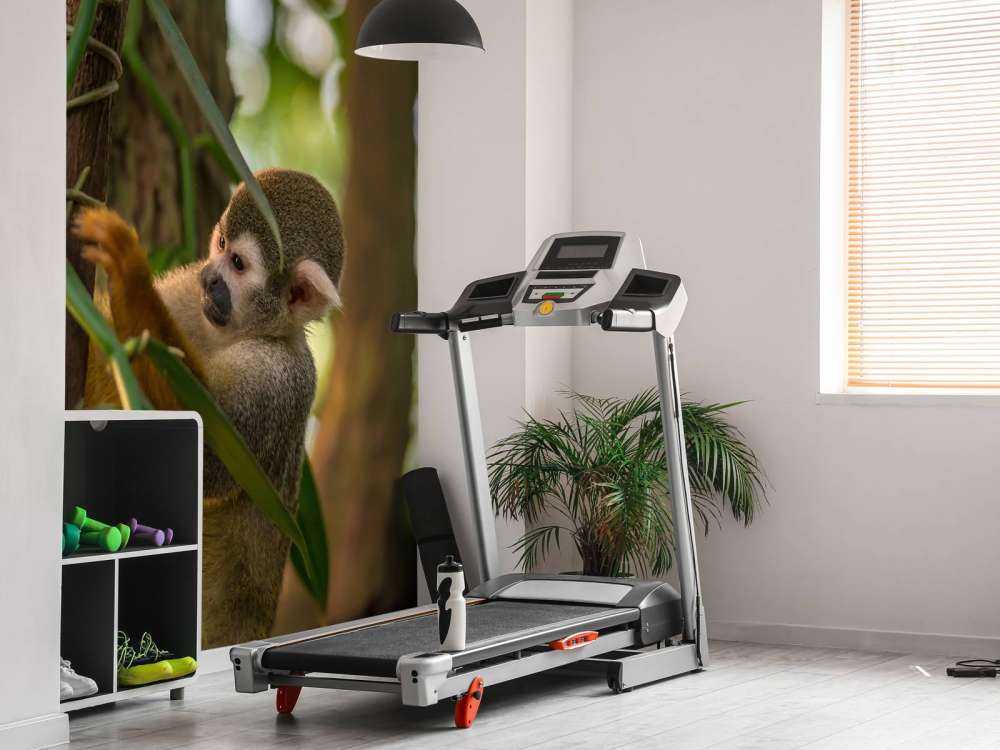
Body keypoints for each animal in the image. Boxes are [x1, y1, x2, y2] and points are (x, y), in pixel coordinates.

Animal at [74, 168, 345, 647]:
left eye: (238, 264)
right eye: (220, 243)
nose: (210, 276)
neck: (239, 333)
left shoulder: (281, 376)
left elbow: (211, 463)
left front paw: (127, 267)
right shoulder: (186, 294)